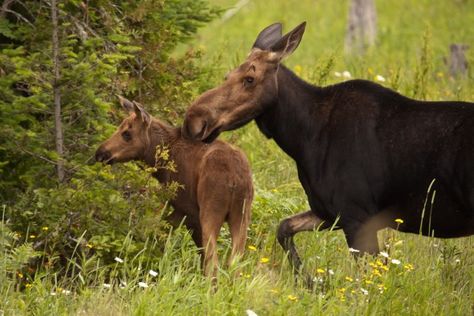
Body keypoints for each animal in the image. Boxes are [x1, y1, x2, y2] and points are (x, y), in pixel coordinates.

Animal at [94, 97, 254, 278]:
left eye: (127, 133)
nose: (100, 153)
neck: (161, 162)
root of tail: (235, 179)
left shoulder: (186, 208)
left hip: (211, 211)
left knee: (213, 262)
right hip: (242, 215)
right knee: (235, 263)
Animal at [183, 21, 474, 274]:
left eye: (249, 79)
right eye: (227, 75)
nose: (194, 119)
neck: (303, 139)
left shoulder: (357, 215)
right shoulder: (328, 210)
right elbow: (284, 228)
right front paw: (312, 283)